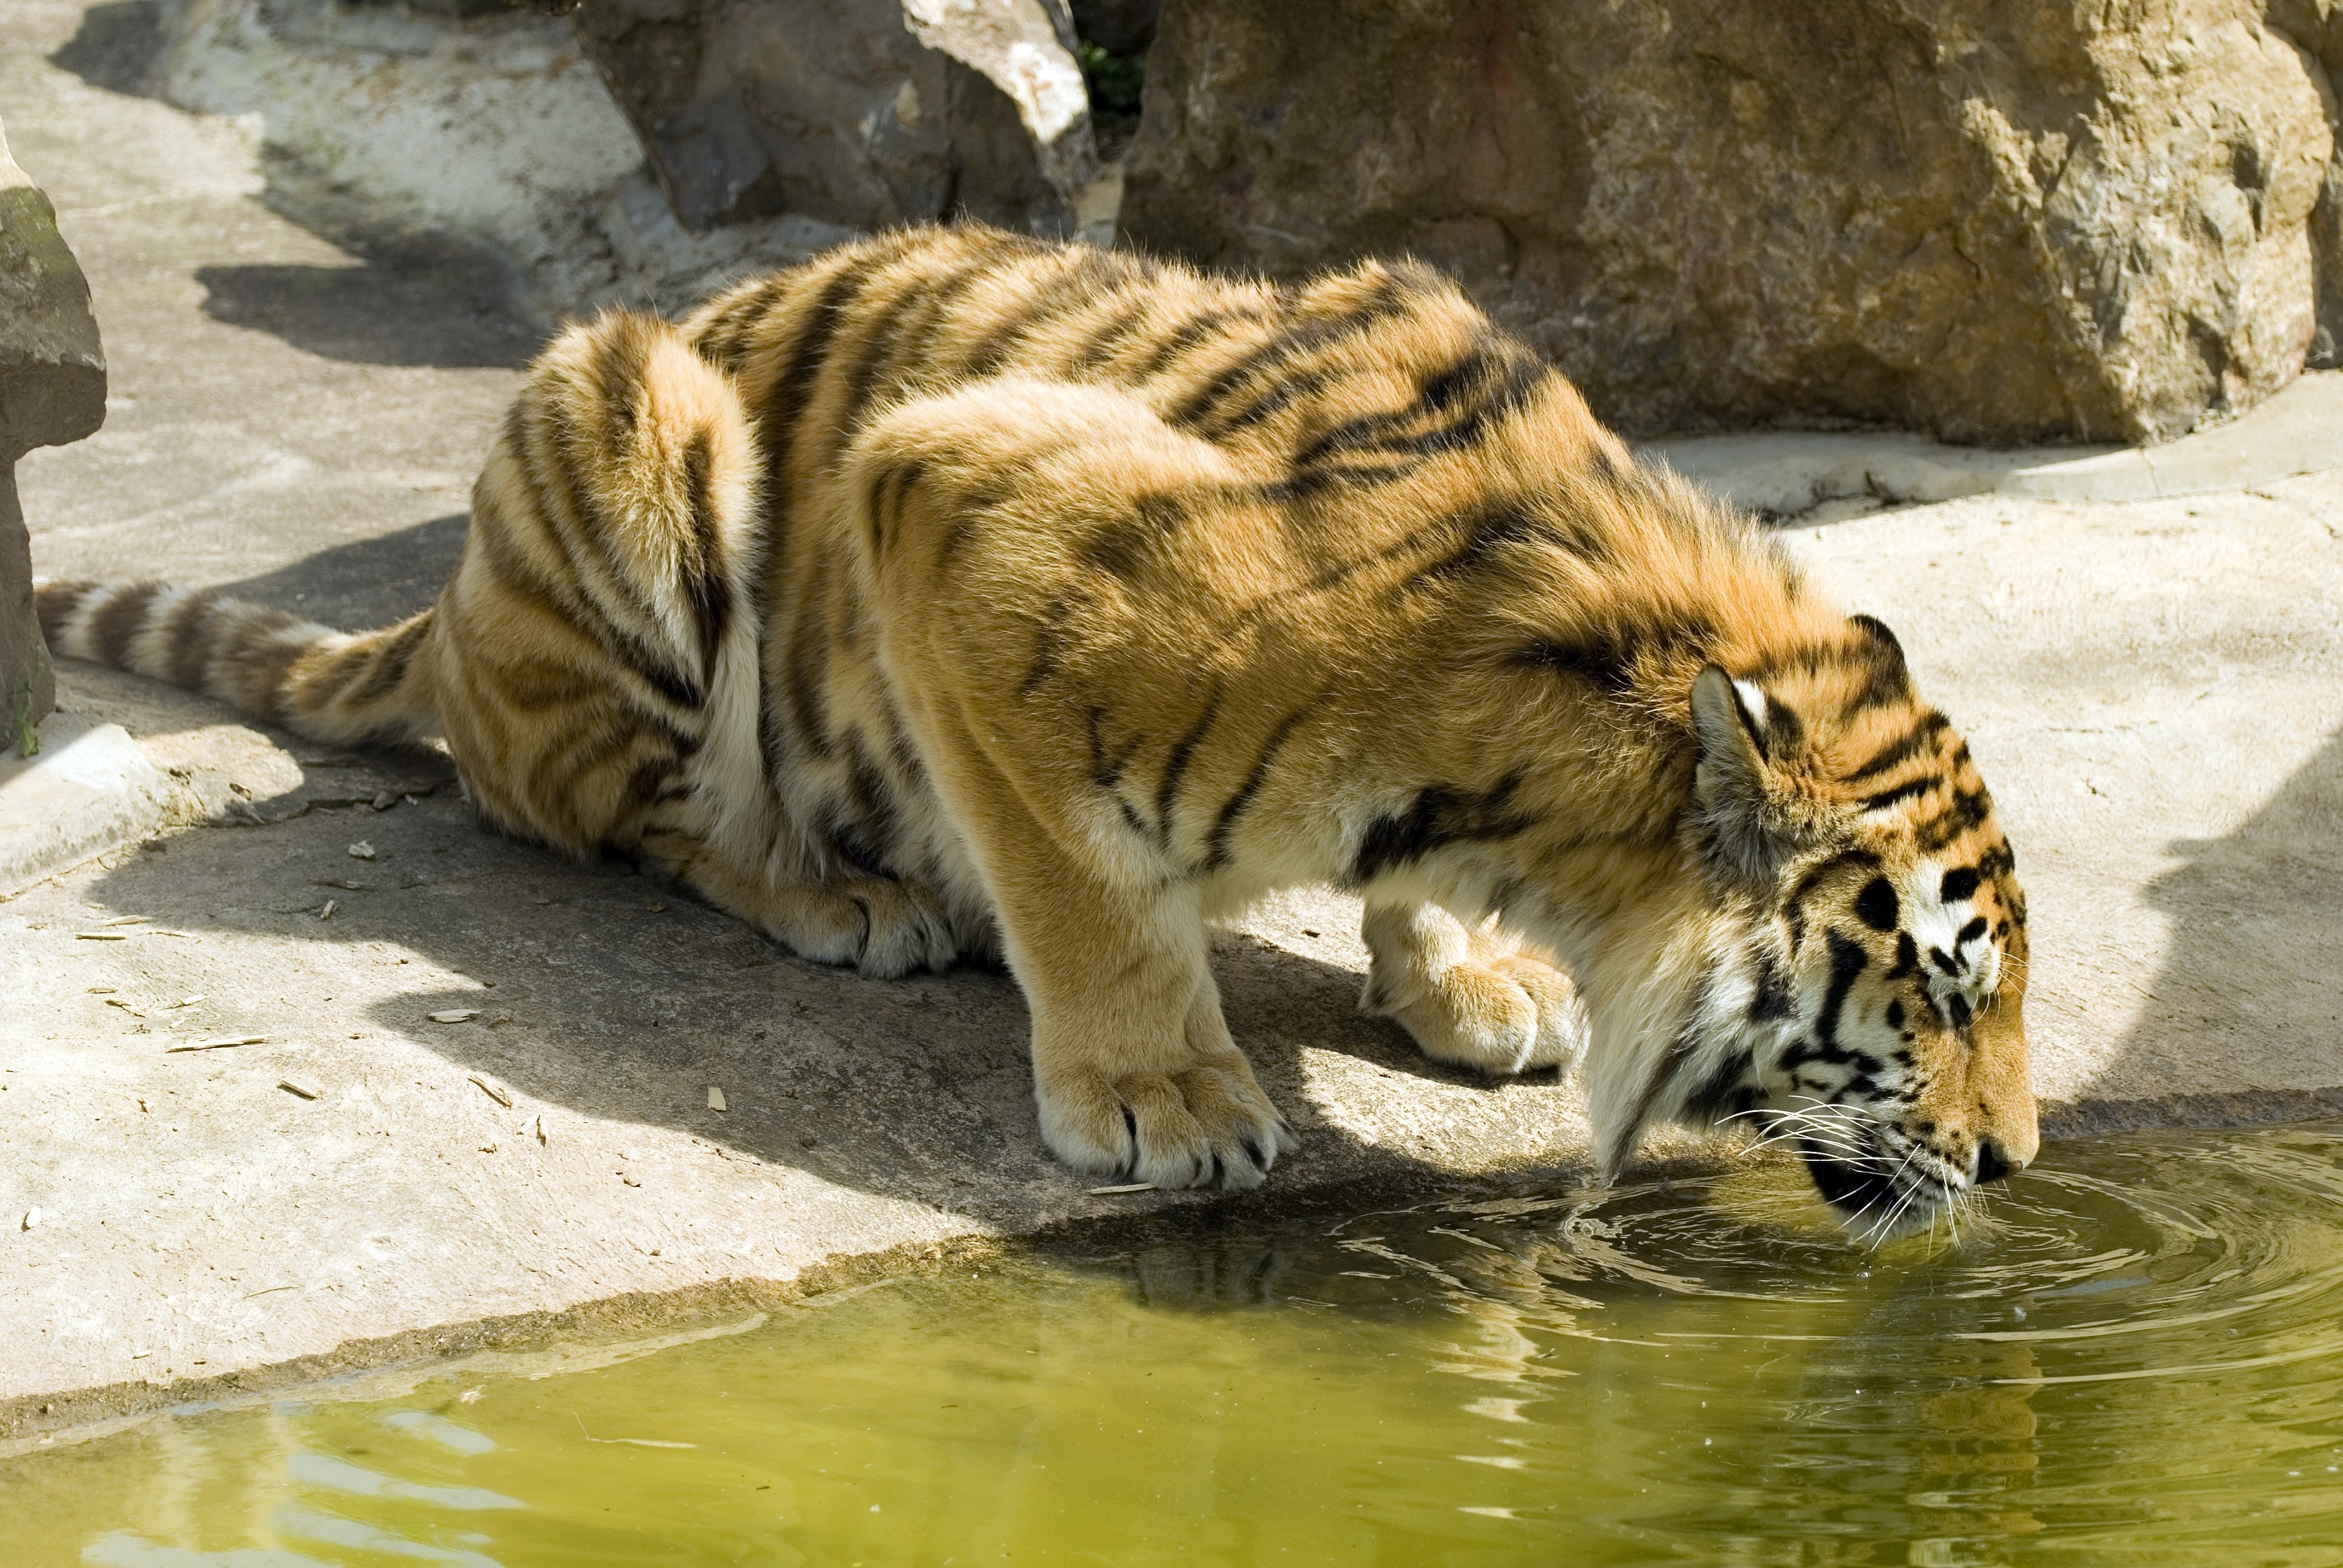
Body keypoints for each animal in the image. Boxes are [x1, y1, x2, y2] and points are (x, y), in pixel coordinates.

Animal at [36, 221, 2037, 1236]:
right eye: (1937, 993)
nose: (2017, 1158)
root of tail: (447, 613)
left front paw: (1469, 979)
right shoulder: (966, 509)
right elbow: (1088, 891)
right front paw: (1162, 1099)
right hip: (633, 422)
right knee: (643, 818)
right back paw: (846, 898)